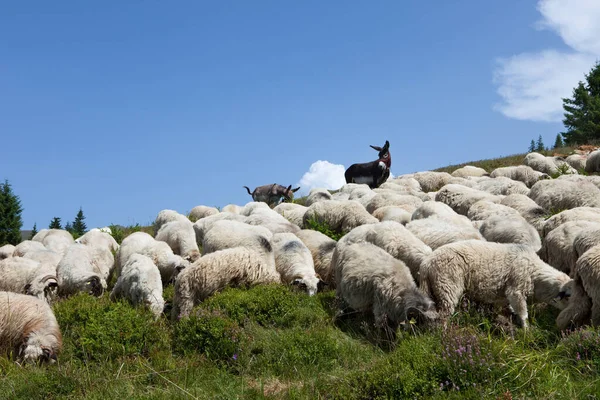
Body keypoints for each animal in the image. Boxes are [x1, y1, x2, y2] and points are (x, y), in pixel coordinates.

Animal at [420, 241, 568, 328]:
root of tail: (427, 264)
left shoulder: (503, 296)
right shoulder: (516, 290)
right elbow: (523, 313)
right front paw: (527, 330)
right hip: (447, 286)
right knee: (443, 316)